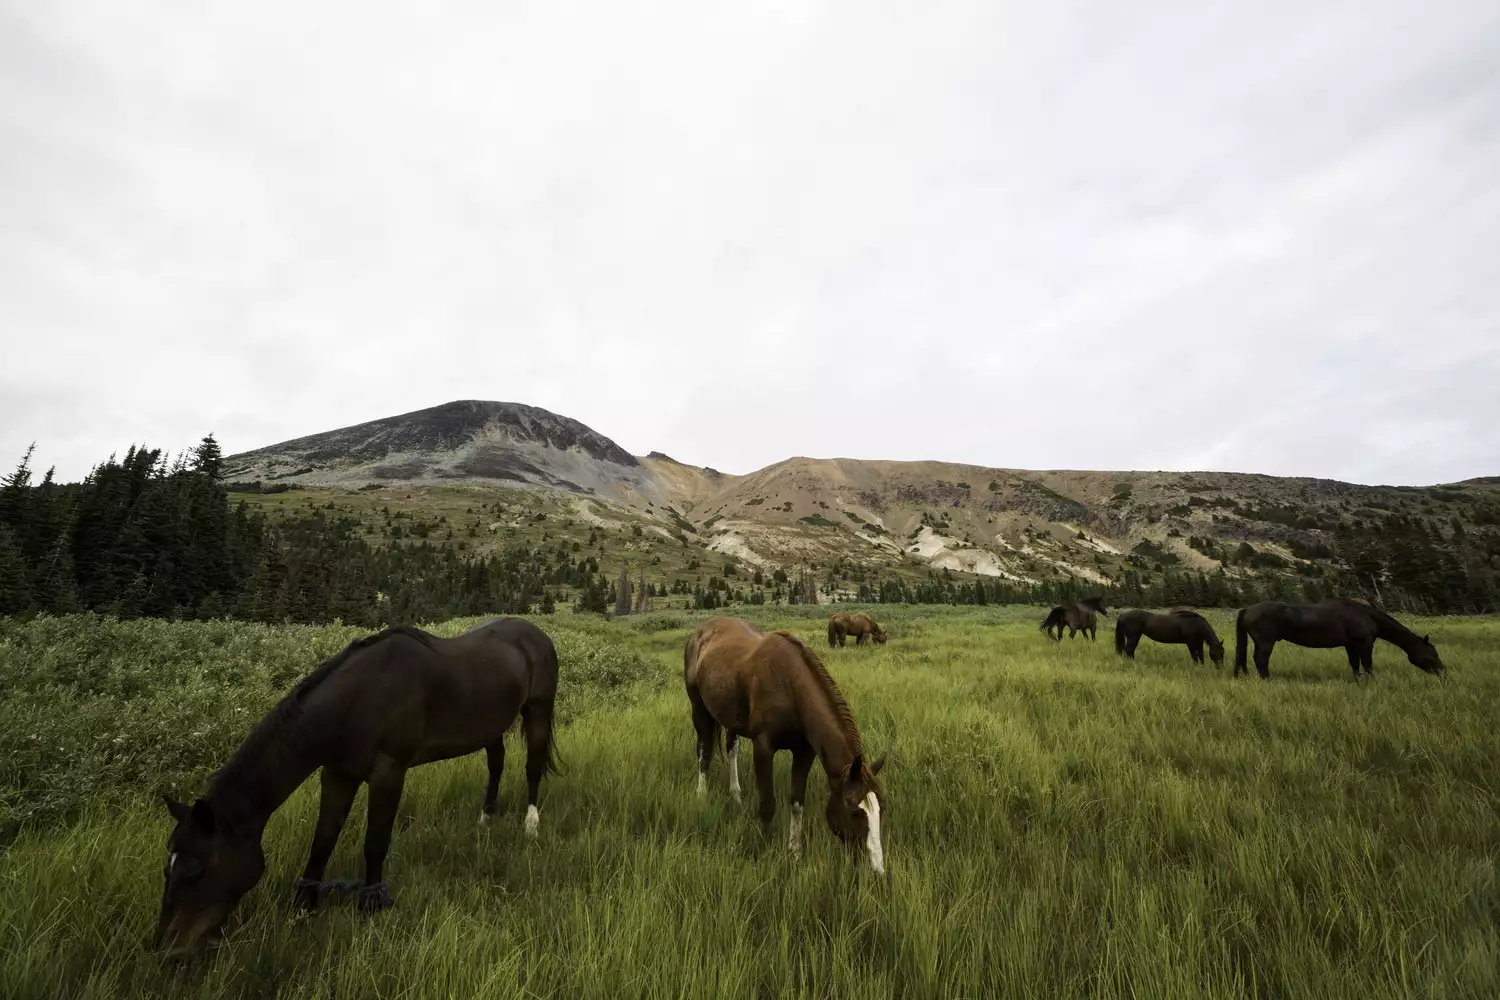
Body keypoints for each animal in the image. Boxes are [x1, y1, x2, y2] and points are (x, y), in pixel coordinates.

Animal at [153, 617, 564, 959]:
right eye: (167, 869)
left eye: (197, 872)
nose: (168, 950)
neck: (355, 702)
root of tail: (537, 634)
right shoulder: (337, 774)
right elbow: (323, 840)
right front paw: (304, 903)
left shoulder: (388, 773)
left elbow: (375, 843)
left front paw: (371, 905)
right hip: (491, 725)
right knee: (496, 764)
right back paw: (486, 818)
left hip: (538, 710)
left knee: (532, 768)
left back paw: (530, 825)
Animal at [684, 617, 882, 875]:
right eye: (854, 811)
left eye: (880, 810)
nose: (877, 870)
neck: (789, 687)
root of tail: (701, 631)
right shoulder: (763, 747)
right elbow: (768, 805)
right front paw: (764, 852)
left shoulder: (804, 753)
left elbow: (797, 803)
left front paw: (795, 854)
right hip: (698, 707)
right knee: (704, 750)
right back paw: (701, 794)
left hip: (731, 718)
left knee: (731, 748)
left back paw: (736, 795)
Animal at [1236, 593, 1446, 680]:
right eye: (1433, 653)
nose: (1443, 671)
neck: (1364, 614)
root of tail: (1247, 609)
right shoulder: (1365, 642)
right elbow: (1367, 664)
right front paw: (1372, 681)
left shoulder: (1350, 645)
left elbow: (1355, 664)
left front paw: (1357, 680)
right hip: (1266, 642)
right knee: (1261, 660)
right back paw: (1268, 680)